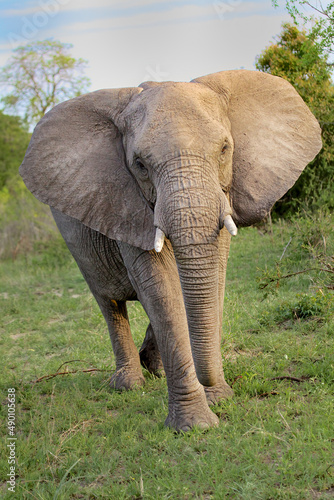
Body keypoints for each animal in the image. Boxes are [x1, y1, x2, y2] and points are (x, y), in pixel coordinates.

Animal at [19, 68, 322, 432]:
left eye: (225, 149)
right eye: (139, 164)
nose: (215, 389)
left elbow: (212, 277)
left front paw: (217, 398)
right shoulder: (124, 202)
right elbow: (160, 286)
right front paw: (196, 425)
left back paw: (155, 369)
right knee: (110, 304)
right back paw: (129, 384)